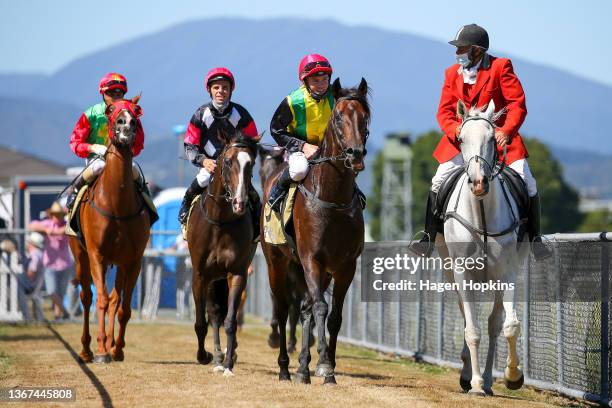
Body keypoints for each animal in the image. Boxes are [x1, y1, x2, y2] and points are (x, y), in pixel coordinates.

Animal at [68, 98, 151, 364]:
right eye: (113, 112)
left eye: (135, 115)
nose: (127, 127)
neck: (117, 204)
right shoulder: (97, 255)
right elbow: (101, 301)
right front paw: (102, 350)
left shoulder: (133, 259)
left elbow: (123, 307)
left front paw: (116, 348)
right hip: (80, 256)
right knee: (86, 297)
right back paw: (87, 348)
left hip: (119, 262)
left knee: (116, 299)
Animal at [184, 131, 256, 376]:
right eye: (228, 161)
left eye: (251, 163)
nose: (239, 203)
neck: (220, 222)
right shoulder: (200, 275)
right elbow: (201, 322)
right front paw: (203, 356)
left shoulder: (237, 272)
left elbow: (231, 320)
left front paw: (228, 364)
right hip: (212, 279)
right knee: (214, 314)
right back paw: (215, 354)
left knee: (221, 314)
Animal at [260, 78, 370, 384]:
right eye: (339, 117)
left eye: (365, 117)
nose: (355, 155)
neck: (332, 200)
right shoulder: (312, 258)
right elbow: (320, 307)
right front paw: (323, 365)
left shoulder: (345, 266)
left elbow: (334, 316)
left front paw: (325, 365)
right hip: (277, 262)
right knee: (284, 308)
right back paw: (285, 367)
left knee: (305, 308)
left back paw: (302, 367)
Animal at [436, 99, 532, 396]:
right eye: (461, 139)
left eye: (492, 139)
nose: (478, 182)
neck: (481, 213)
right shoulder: (462, 274)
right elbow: (472, 330)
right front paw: (475, 383)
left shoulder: (507, 272)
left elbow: (509, 325)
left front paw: (513, 376)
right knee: (469, 319)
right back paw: (470, 376)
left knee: (494, 323)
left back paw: (489, 379)